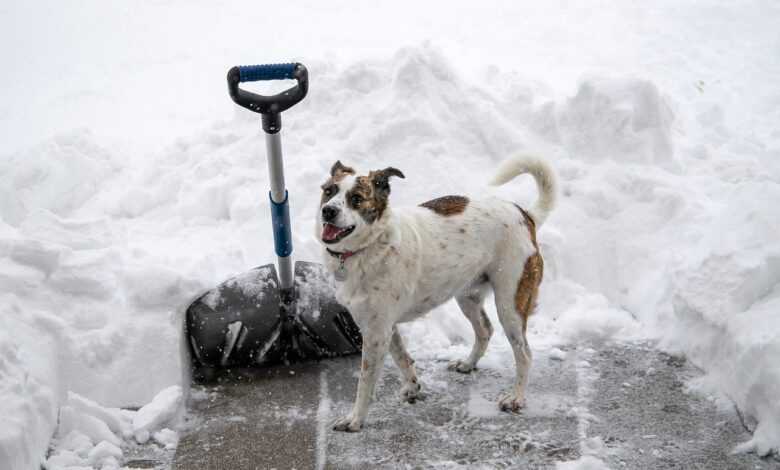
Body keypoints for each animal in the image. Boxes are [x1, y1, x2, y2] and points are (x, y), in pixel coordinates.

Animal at [316, 154, 556, 430]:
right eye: (328, 191)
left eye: (356, 198)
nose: (328, 211)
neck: (370, 246)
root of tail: (525, 214)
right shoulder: (383, 326)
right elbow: (401, 357)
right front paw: (412, 387)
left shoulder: (376, 332)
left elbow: (365, 382)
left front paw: (355, 419)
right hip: (467, 295)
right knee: (485, 330)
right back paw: (468, 364)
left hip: (510, 303)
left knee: (524, 354)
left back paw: (516, 398)